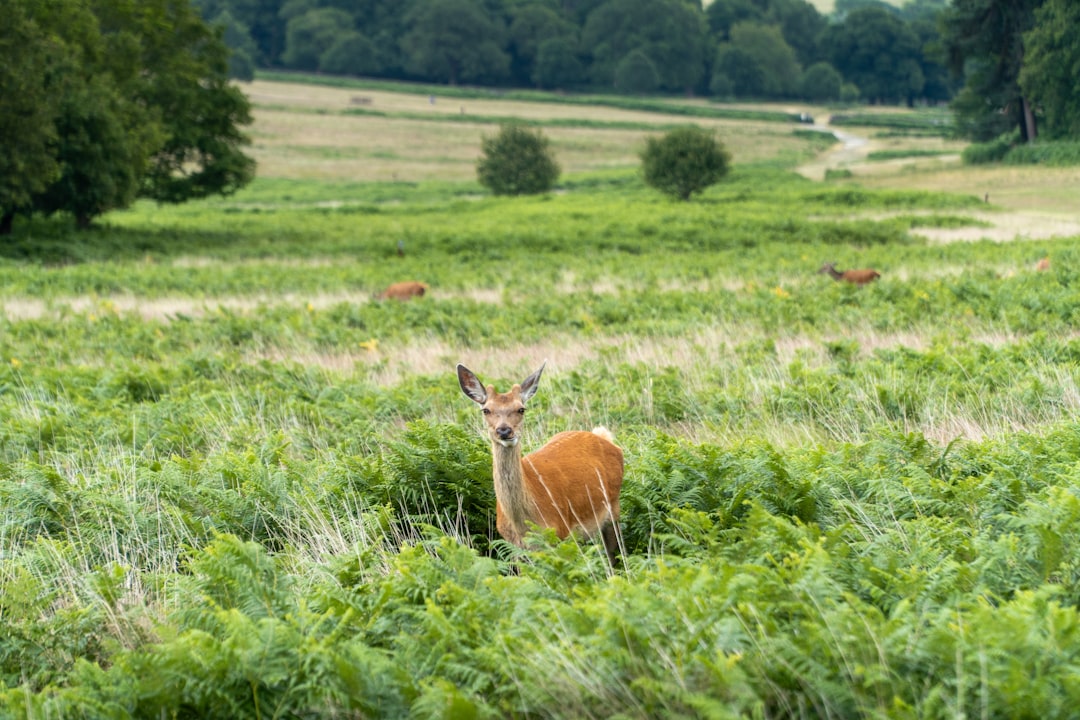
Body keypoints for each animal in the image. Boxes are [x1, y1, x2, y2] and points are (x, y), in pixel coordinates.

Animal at [457, 362, 624, 566]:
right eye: (486, 410)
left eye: (521, 409)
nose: (504, 431)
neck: (522, 525)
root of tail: (604, 437)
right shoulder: (513, 546)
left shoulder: (560, 535)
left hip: (613, 508)